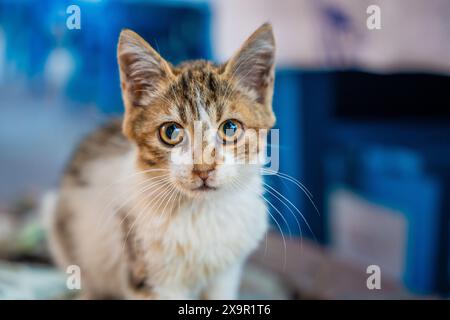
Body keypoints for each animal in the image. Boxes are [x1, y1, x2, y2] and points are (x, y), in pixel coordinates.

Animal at [47, 23, 276, 300]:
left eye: (230, 128)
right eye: (171, 132)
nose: (203, 169)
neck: (200, 212)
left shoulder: (226, 272)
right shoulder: (147, 272)